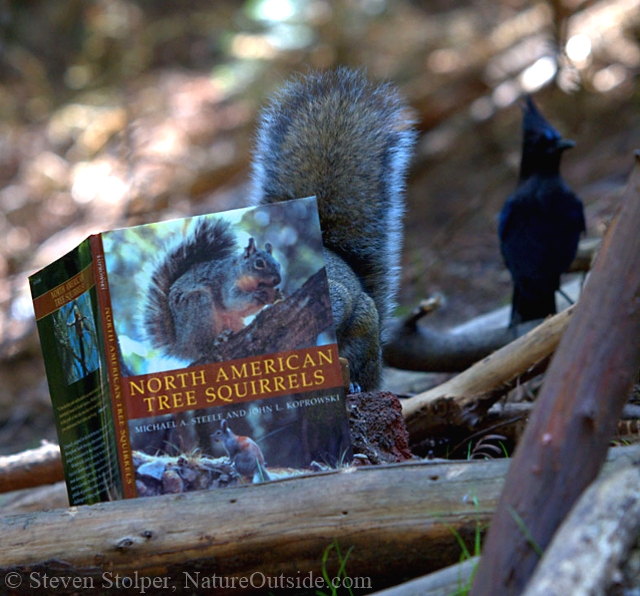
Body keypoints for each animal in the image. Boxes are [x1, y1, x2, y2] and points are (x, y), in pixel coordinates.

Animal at [146, 217, 284, 360]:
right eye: (259, 263)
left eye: (278, 264)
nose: (278, 280)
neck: (251, 284)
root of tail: (181, 347)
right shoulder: (226, 284)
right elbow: (232, 301)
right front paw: (255, 296)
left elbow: (244, 312)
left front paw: (277, 296)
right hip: (198, 306)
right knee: (202, 346)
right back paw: (216, 341)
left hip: (232, 321)